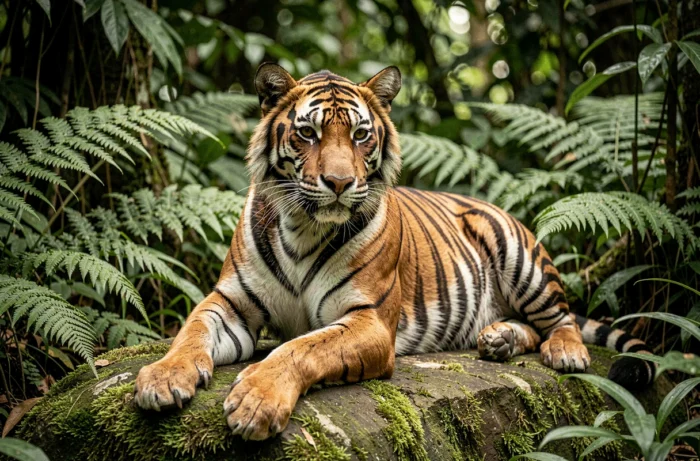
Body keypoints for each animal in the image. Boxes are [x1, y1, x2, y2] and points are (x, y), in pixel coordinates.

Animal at [134, 64, 654, 441]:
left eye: (361, 135)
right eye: (308, 134)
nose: (339, 182)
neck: (304, 226)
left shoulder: (369, 320)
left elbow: (298, 348)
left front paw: (256, 400)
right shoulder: (231, 301)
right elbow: (190, 332)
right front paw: (161, 378)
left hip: (518, 255)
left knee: (563, 320)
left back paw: (565, 353)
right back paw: (499, 339)